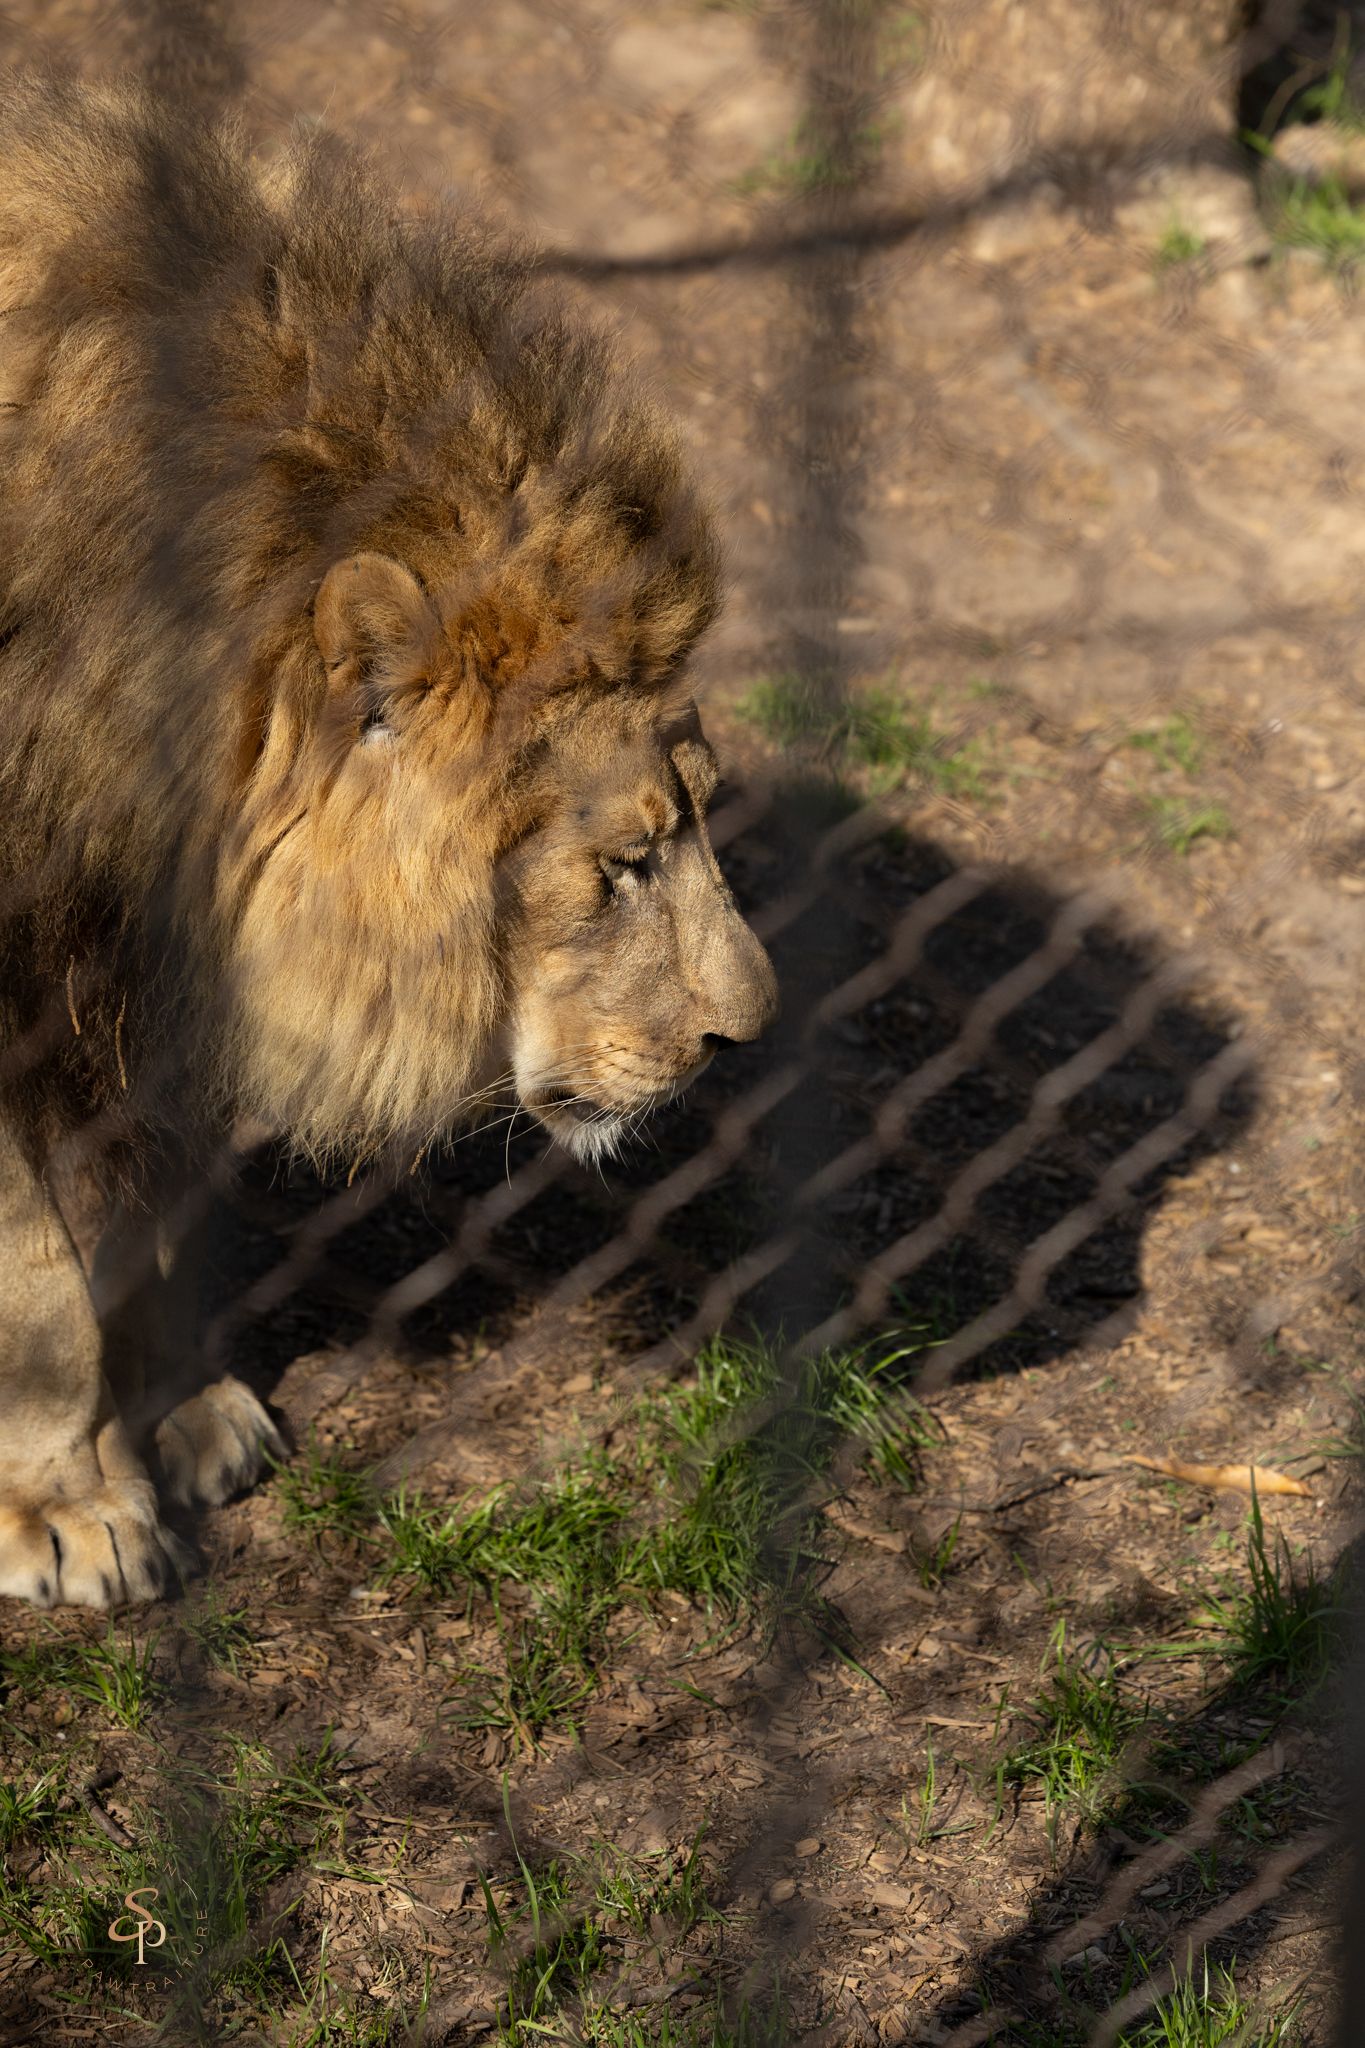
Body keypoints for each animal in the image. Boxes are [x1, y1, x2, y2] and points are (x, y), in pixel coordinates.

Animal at [0, 71, 777, 1611]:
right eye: (622, 866)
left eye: (699, 814)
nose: (746, 1034)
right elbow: (38, 1286)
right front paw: (69, 1505)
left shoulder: (154, 960)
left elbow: (146, 1218)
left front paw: (187, 1415)